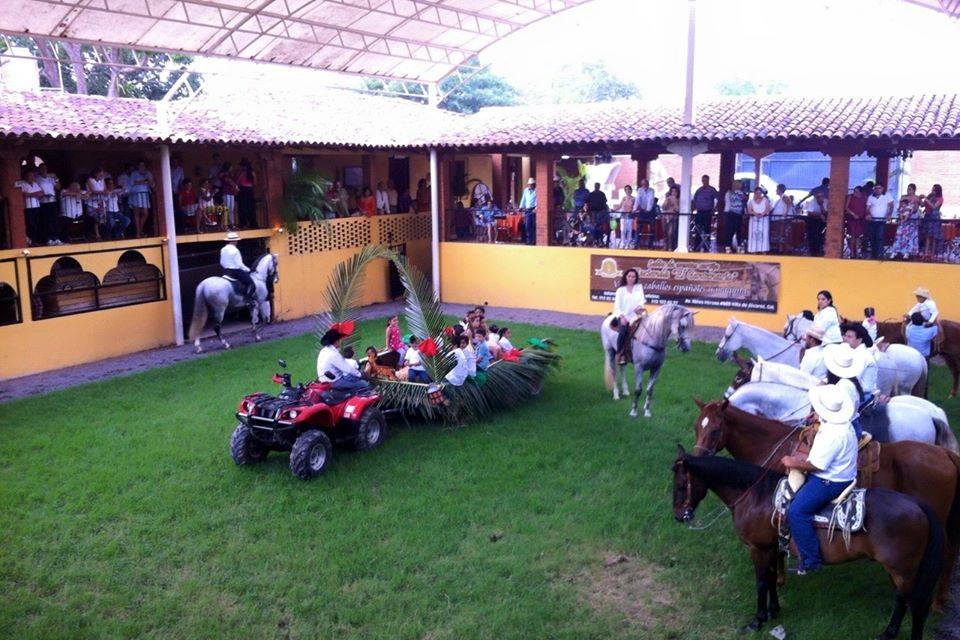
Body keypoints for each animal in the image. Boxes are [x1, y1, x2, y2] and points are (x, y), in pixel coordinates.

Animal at [676, 448, 944, 636]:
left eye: (680, 486)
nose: (679, 516)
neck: (756, 496)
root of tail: (917, 504)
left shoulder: (758, 549)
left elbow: (761, 582)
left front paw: (757, 620)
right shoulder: (772, 547)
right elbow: (772, 579)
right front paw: (774, 610)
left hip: (904, 570)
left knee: (916, 604)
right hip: (899, 570)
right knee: (902, 599)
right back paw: (888, 633)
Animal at [688, 400, 960, 608]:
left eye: (715, 430)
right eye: (696, 426)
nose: (697, 459)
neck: (773, 446)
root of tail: (945, 455)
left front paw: (779, 578)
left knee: (947, 552)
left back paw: (937, 601)